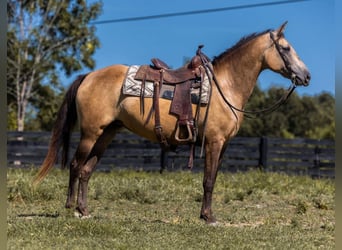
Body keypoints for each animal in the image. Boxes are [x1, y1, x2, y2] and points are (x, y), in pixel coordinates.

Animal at [34, 22, 310, 224]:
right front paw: (208, 217)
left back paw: (84, 210)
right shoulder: (214, 142)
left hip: (106, 134)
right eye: (286, 48)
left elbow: (213, 178)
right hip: (91, 133)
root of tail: (89, 76)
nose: (306, 76)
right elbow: (208, 180)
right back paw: (72, 208)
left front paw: (206, 214)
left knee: (86, 170)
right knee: (75, 165)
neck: (225, 86)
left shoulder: (223, 145)